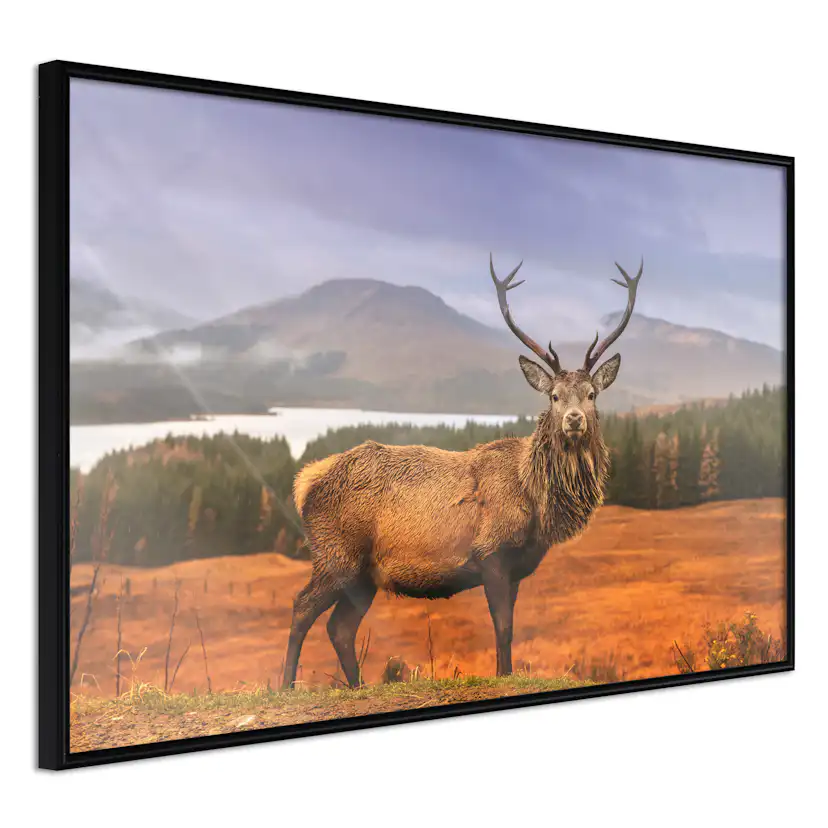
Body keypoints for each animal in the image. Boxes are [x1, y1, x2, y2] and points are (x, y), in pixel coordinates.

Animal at [282, 255, 643, 689]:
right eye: (554, 396)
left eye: (592, 395)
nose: (574, 419)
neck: (535, 503)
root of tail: (305, 482)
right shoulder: (491, 552)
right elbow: (502, 626)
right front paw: (503, 676)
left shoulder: (517, 568)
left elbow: (508, 628)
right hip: (336, 553)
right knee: (301, 607)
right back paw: (284, 686)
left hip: (365, 575)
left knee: (340, 627)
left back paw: (356, 686)